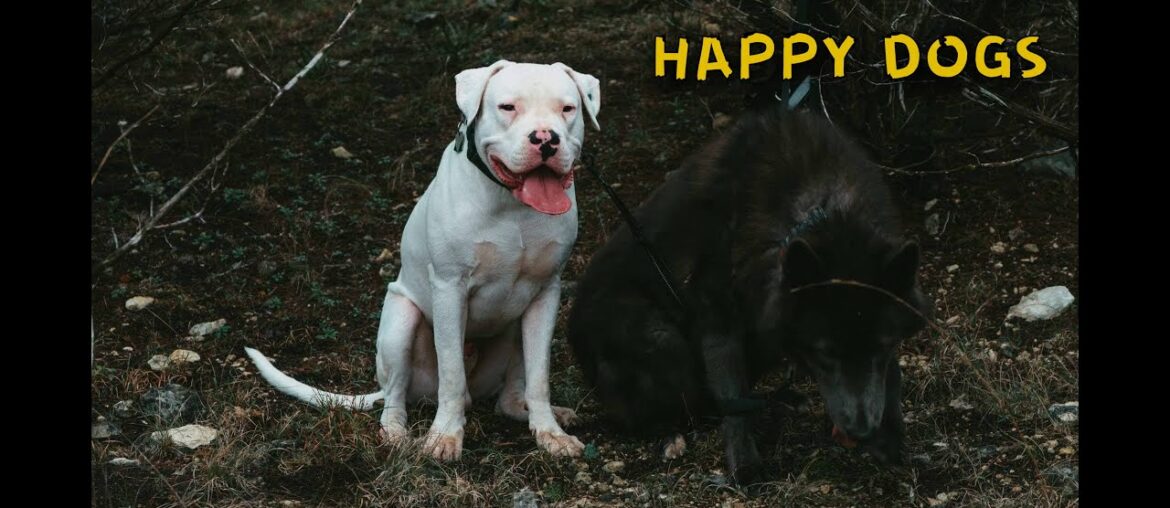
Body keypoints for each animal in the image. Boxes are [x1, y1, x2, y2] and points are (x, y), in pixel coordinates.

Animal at [244, 60, 594, 461]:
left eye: (567, 109)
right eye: (508, 107)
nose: (546, 139)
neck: (512, 205)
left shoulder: (545, 294)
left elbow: (539, 377)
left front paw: (550, 434)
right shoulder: (449, 289)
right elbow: (452, 374)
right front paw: (444, 437)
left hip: (513, 333)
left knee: (507, 399)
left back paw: (542, 413)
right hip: (400, 324)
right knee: (397, 398)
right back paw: (397, 433)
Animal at [566, 108, 931, 484]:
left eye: (883, 346)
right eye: (825, 352)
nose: (861, 431)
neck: (824, 206)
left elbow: (891, 375)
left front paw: (890, 436)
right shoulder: (717, 313)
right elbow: (732, 391)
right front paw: (745, 465)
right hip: (659, 337)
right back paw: (673, 435)